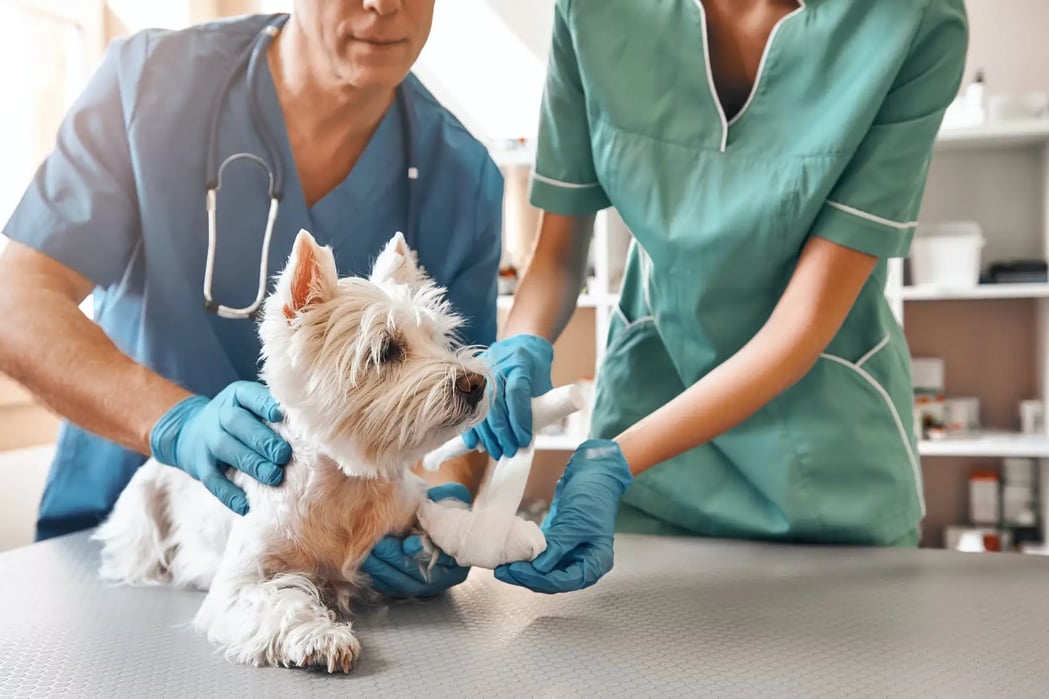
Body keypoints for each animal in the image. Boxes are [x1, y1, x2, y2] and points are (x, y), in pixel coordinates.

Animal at [93, 228, 490, 671]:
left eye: (438, 339)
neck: (347, 487)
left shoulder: (407, 507)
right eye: (386, 350)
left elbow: (438, 516)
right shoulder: (240, 584)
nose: (476, 383)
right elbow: (280, 603)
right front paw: (322, 638)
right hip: (142, 512)